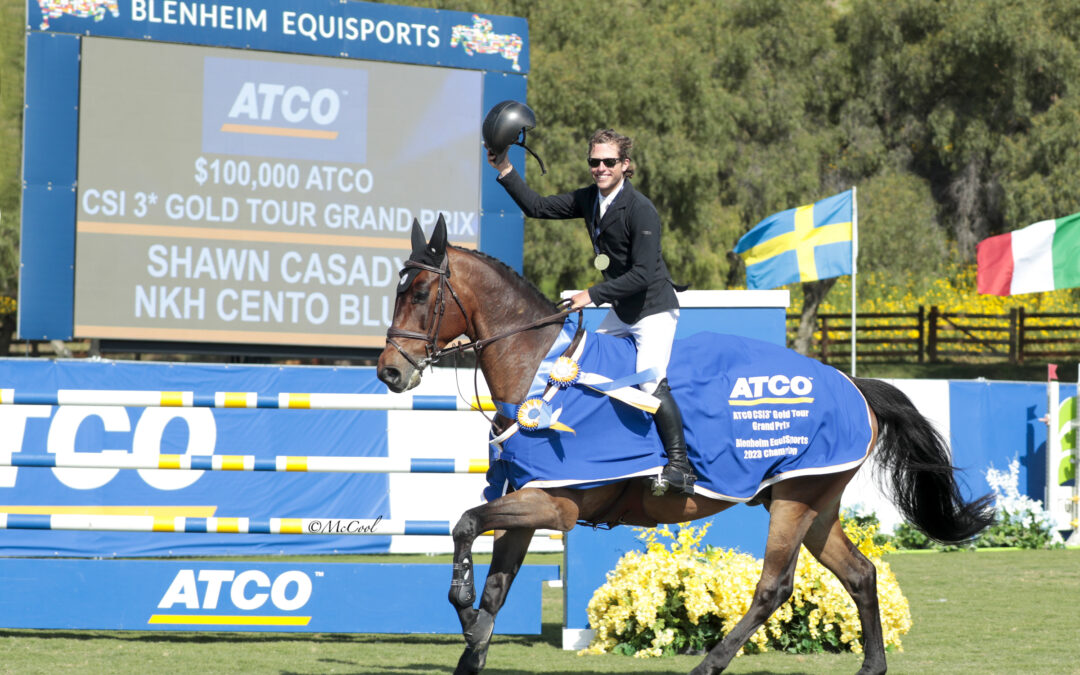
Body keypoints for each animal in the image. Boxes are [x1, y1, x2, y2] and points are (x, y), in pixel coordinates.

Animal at [375, 217, 989, 673]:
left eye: (422, 292)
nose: (389, 371)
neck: (539, 373)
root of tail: (853, 383)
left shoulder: (555, 505)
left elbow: (464, 524)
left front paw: (459, 598)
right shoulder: (528, 502)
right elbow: (495, 588)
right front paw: (472, 636)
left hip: (794, 501)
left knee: (774, 586)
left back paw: (709, 663)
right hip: (815, 502)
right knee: (860, 573)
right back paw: (871, 666)